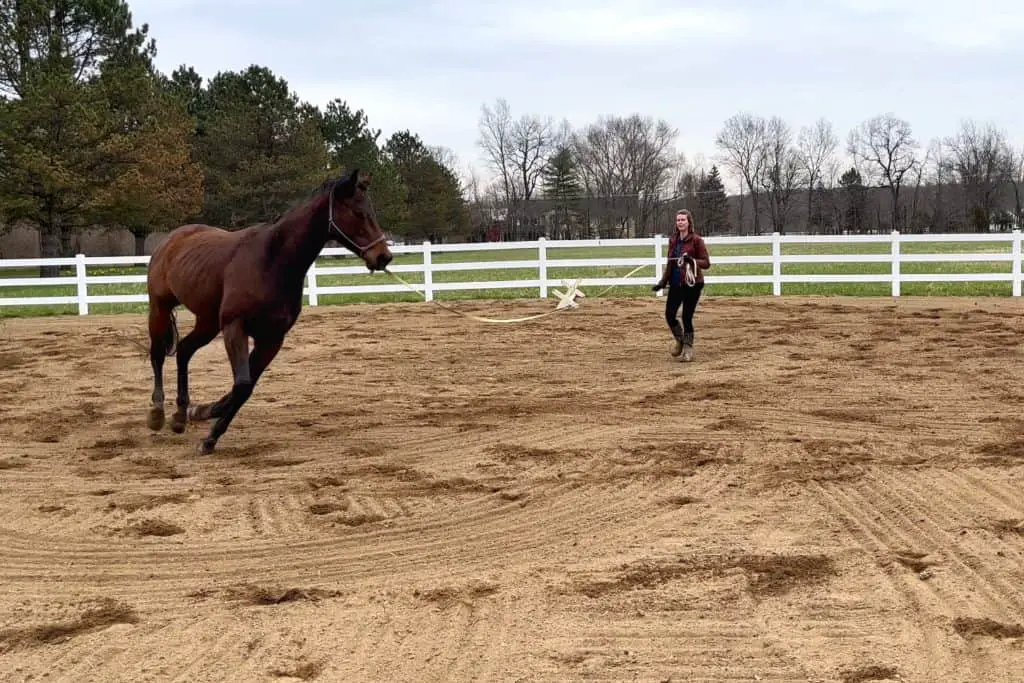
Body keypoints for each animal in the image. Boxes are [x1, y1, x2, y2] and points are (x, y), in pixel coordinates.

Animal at [146, 166, 393, 454]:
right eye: (358, 213)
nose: (383, 256)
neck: (272, 261)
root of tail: (171, 239)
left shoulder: (272, 339)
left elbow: (245, 387)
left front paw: (205, 416)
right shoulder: (235, 327)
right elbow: (242, 385)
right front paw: (208, 431)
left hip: (207, 322)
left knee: (184, 351)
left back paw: (180, 415)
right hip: (160, 307)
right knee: (157, 355)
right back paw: (158, 412)